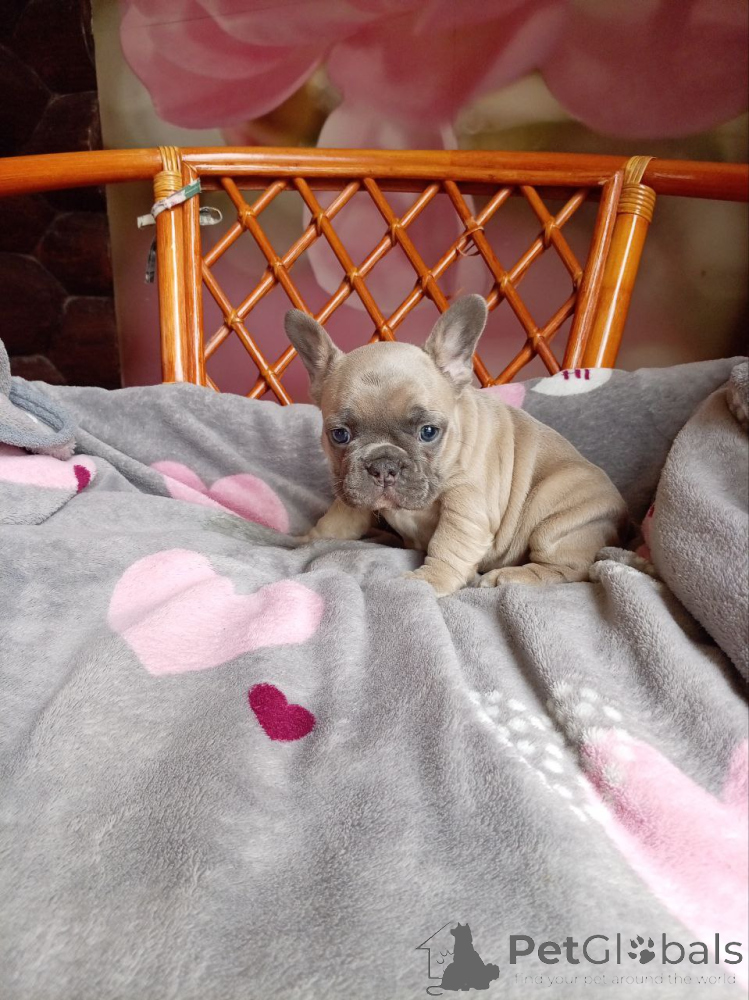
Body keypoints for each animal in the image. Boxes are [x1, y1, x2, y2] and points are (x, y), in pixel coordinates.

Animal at [284, 295, 627, 597]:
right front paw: (303, 539)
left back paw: (510, 576)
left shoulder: (466, 504)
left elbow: (449, 545)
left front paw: (430, 580)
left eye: (428, 432)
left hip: (557, 517)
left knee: (569, 568)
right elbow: (335, 523)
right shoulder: (351, 491)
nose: (383, 465)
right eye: (340, 435)